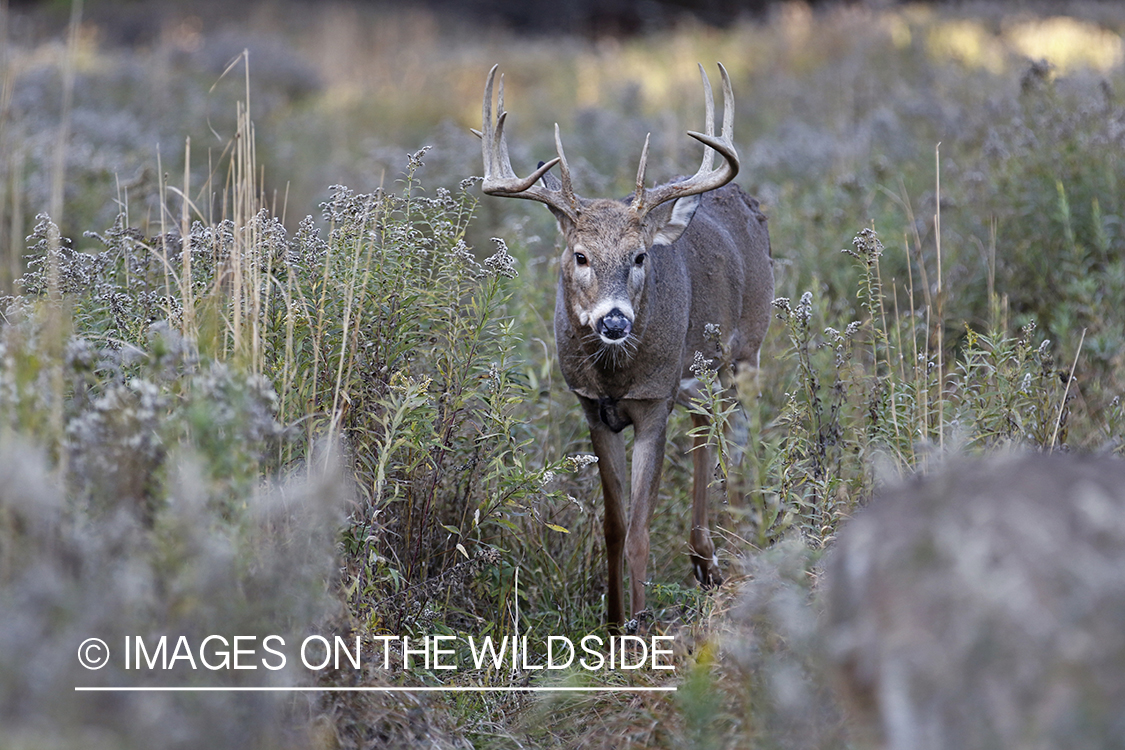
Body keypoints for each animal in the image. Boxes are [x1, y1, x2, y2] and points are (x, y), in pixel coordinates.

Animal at [474, 64, 774, 629]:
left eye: (639, 256)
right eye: (580, 255)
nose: (614, 319)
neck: (617, 376)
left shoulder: (653, 402)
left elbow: (638, 529)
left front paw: (638, 627)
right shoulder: (593, 408)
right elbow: (613, 527)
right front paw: (613, 623)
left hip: (749, 345)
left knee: (738, 431)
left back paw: (737, 534)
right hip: (698, 371)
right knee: (706, 424)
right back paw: (703, 557)